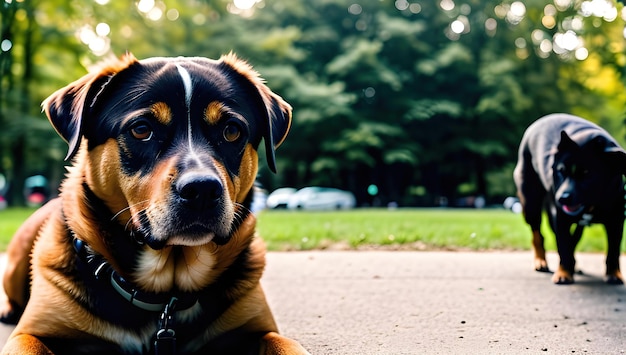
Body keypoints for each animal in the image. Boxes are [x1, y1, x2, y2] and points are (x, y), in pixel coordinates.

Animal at [1, 54, 308, 354]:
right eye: (141, 129)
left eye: (232, 131)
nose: (202, 189)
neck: (165, 295)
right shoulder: (30, 334)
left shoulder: (257, 329)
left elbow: (287, 345)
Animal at [512, 114, 624, 286]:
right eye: (561, 171)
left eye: (587, 173)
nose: (562, 198)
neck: (592, 203)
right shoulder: (561, 217)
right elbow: (564, 246)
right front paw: (563, 273)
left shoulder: (616, 220)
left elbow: (613, 250)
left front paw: (613, 274)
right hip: (531, 205)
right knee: (538, 234)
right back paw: (540, 261)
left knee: (573, 239)